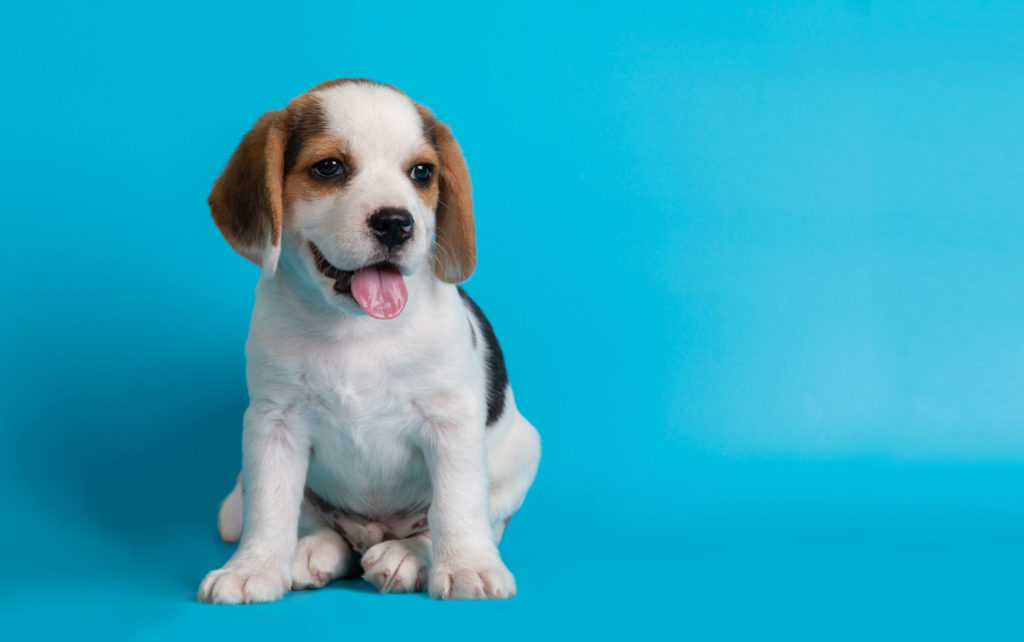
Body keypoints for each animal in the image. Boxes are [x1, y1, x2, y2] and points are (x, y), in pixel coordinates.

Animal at [194, 79, 540, 602]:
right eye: (329, 167)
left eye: (421, 172)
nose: (396, 222)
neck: (355, 329)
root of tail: (375, 529)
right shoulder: (274, 424)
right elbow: (270, 508)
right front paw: (253, 567)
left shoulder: (451, 423)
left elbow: (455, 504)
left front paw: (467, 566)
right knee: (323, 528)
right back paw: (314, 551)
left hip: (520, 457)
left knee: (442, 523)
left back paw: (406, 555)